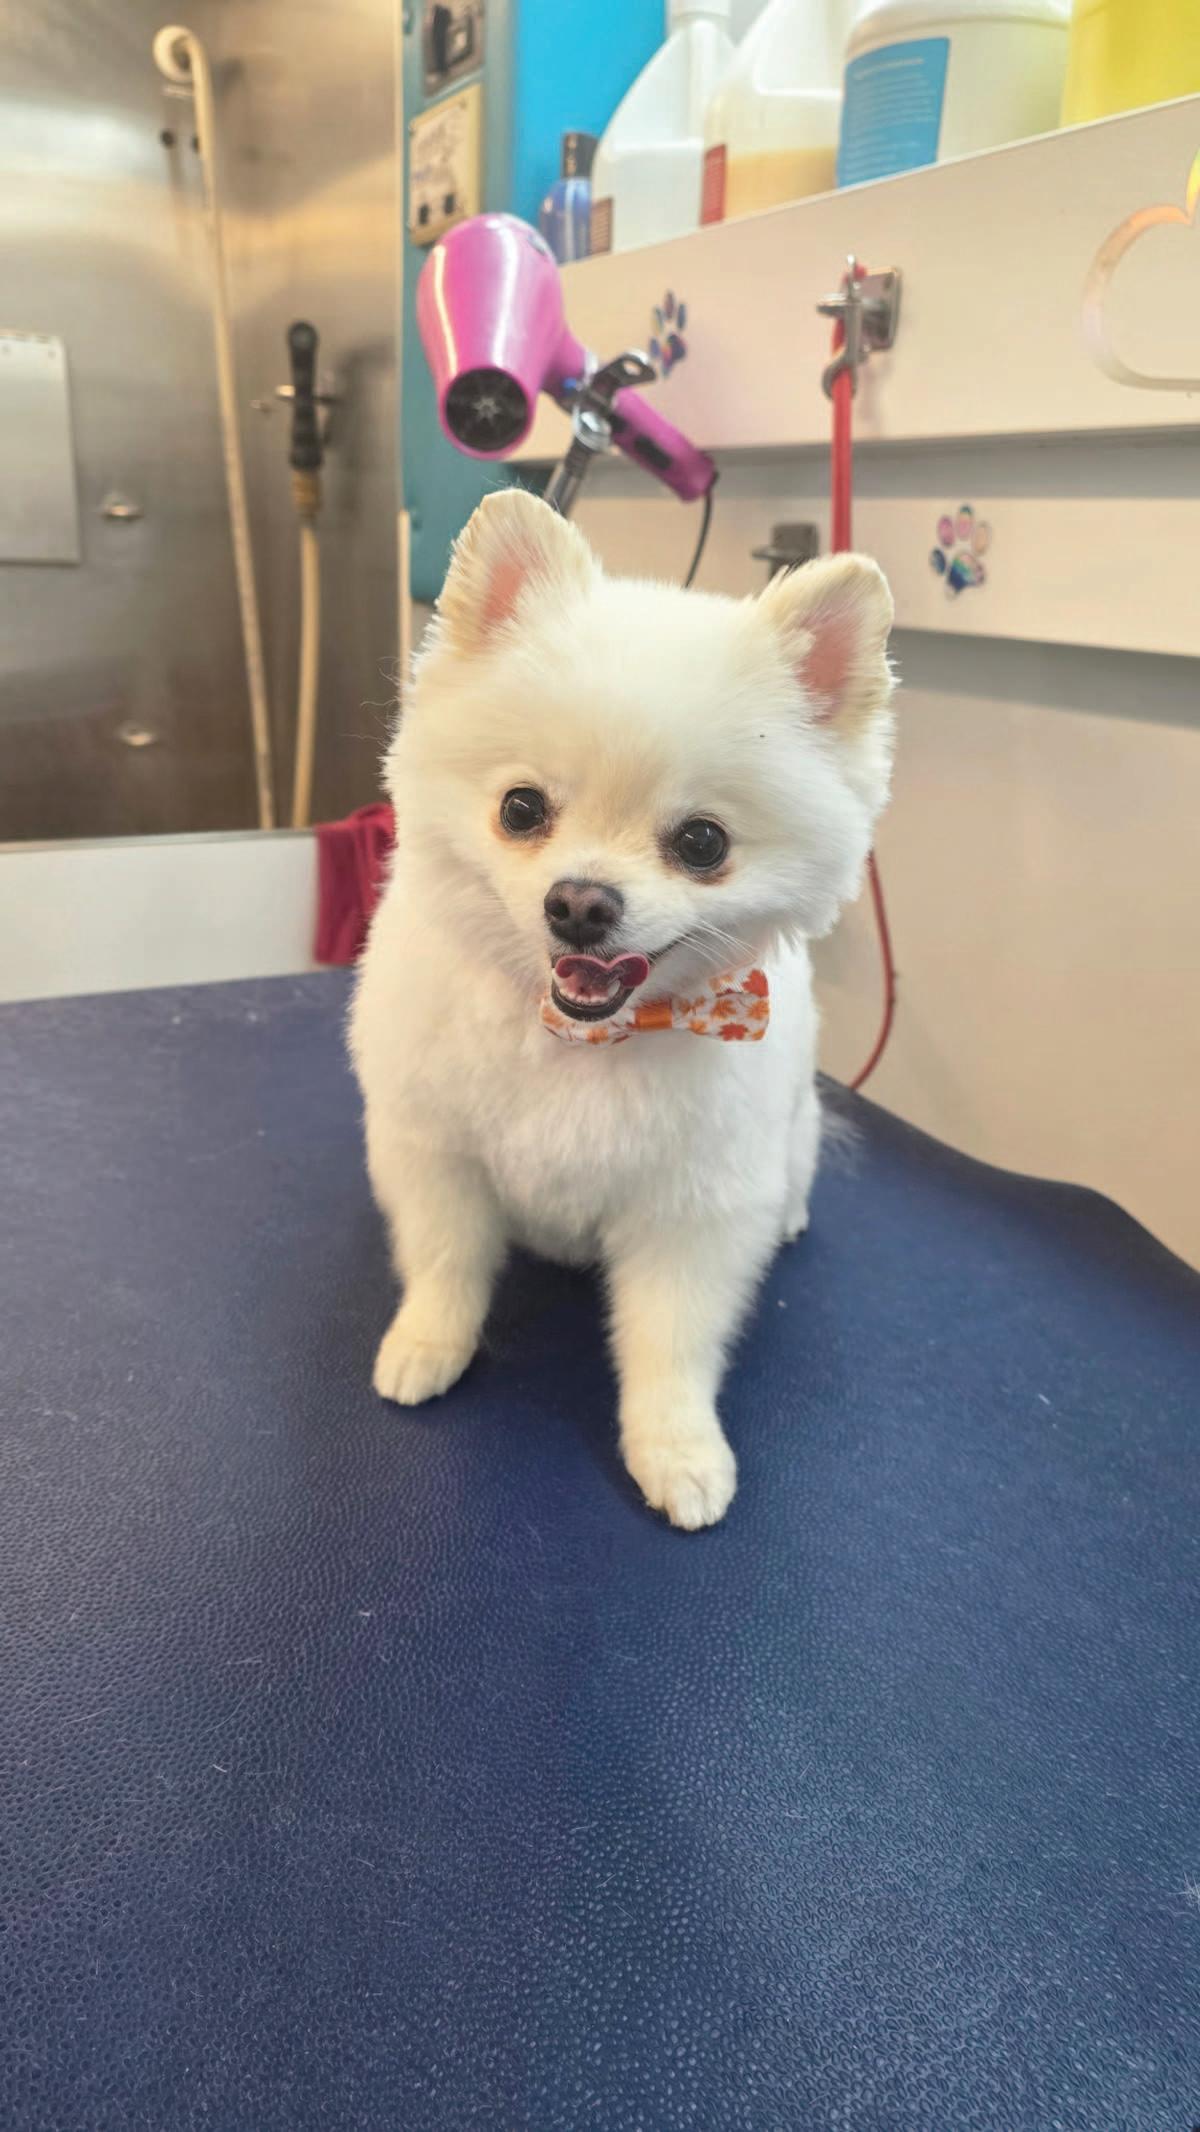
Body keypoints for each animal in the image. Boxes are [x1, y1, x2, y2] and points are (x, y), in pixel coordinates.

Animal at [350, 489, 895, 1529]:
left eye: (703, 842)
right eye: (521, 809)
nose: (580, 903)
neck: (579, 1038)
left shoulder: (692, 1212)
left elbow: (670, 1347)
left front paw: (677, 1450)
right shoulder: (436, 1153)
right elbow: (445, 1265)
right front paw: (428, 1346)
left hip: (792, 1133)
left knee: (796, 1172)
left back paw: (792, 1214)